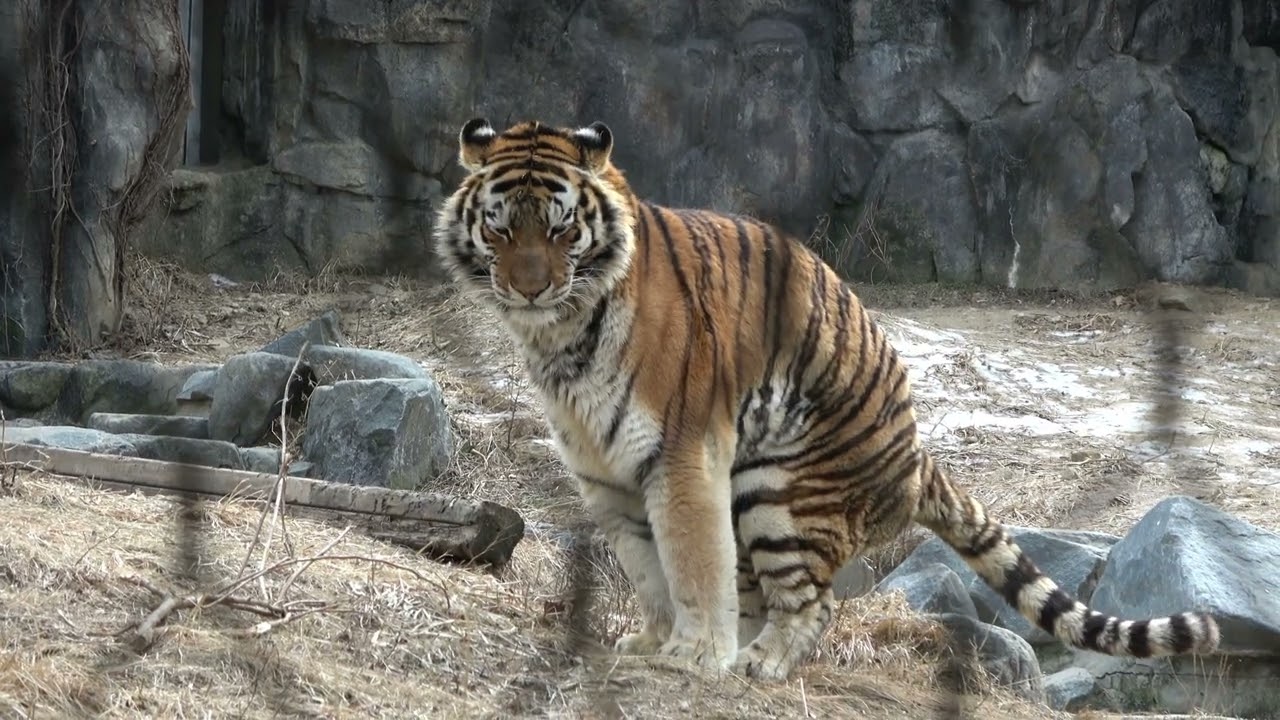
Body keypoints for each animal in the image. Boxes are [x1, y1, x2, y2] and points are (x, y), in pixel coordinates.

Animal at [432, 117, 1220, 681]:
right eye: (500, 225)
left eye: (561, 228)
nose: (529, 286)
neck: (563, 334)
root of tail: (917, 457)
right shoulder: (605, 472)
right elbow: (647, 570)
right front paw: (653, 642)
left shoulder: (683, 453)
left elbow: (689, 560)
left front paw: (695, 655)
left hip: (778, 489)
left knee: (815, 604)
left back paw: (757, 662)